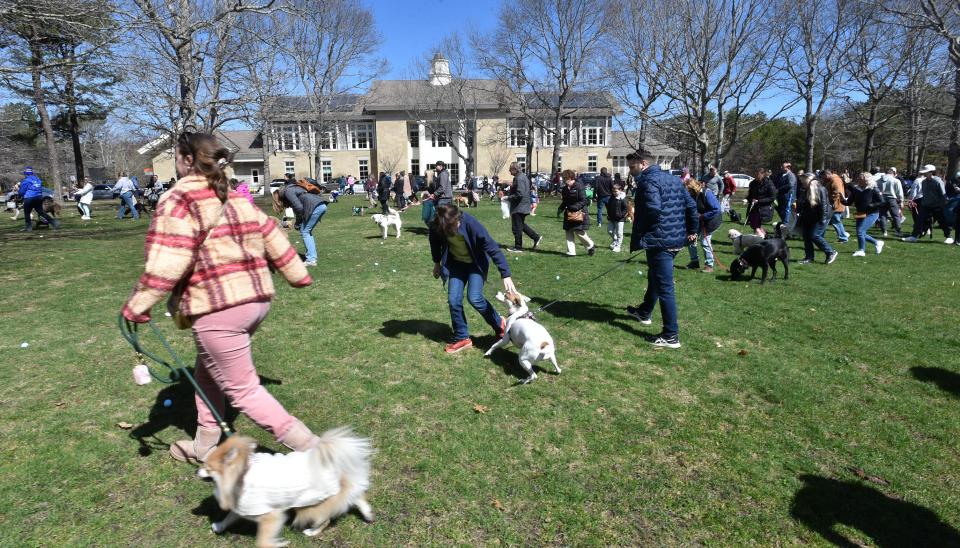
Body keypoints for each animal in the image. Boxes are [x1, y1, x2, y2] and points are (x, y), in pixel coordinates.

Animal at [202, 428, 376, 548]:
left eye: (207, 467)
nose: (198, 470)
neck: (240, 476)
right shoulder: (244, 507)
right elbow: (230, 516)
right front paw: (219, 526)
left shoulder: (270, 516)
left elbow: (262, 541)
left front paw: (277, 543)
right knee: (355, 495)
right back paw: (368, 513)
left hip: (309, 507)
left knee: (325, 519)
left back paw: (311, 532)